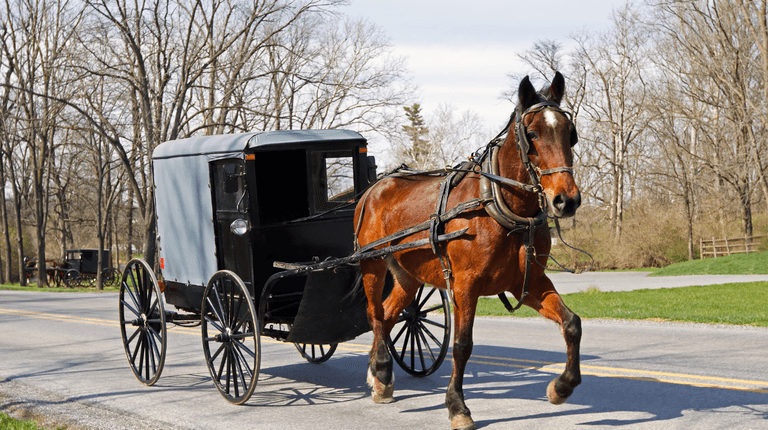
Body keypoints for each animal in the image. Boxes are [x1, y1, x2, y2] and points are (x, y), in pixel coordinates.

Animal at [353, 72, 582, 430]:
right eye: (532, 134)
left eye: (570, 134)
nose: (566, 200)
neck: (498, 205)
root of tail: (374, 187)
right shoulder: (464, 285)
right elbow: (462, 345)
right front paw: (458, 407)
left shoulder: (529, 281)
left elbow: (572, 323)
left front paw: (562, 387)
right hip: (372, 264)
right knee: (375, 314)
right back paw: (381, 369)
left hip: (407, 274)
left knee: (389, 314)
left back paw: (380, 378)